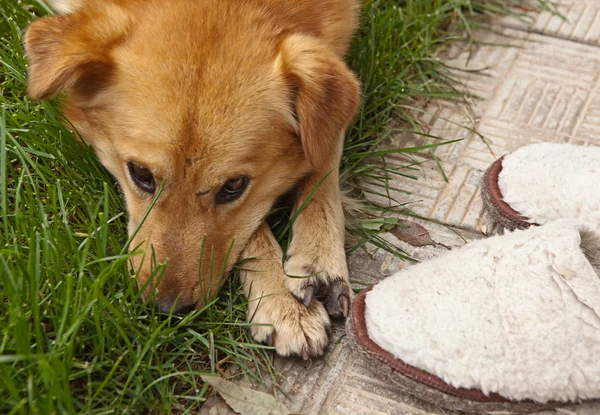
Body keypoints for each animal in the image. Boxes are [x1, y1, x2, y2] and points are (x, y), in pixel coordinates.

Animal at [24, 0, 360, 360]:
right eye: (140, 173)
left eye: (233, 186)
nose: (166, 310)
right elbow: (255, 227)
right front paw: (281, 300)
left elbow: (324, 155)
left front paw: (318, 258)